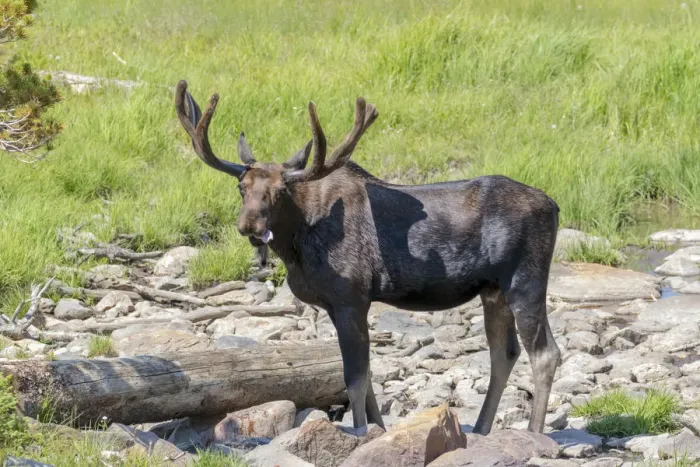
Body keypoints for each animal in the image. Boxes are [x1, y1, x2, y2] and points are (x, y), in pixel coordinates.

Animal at [174, 80, 562, 435]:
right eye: (242, 187)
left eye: (281, 190)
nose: (249, 224)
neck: (298, 244)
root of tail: (555, 206)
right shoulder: (335, 305)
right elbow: (369, 376)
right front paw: (378, 428)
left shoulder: (351, 297)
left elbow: (355, 380)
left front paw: (361, 432)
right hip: (493, 290)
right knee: (504, 353)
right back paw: (481, 429)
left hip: (525, 280)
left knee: (544, 352)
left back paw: (534, 433)